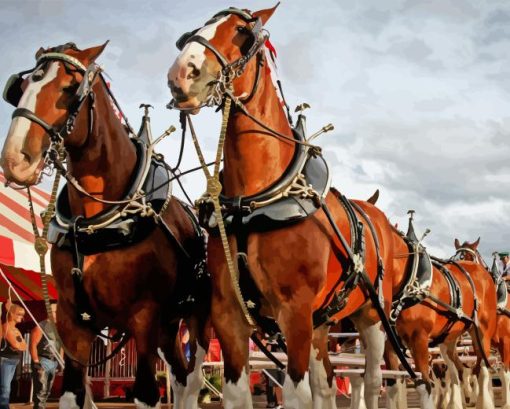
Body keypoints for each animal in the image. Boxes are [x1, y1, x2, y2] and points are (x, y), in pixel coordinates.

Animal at [0, 42, 211, 408]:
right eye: (20, 88)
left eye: (70, 90)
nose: (15, 159)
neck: (97, 224)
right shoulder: (72, 320)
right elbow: (72, 392)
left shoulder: (144, 317)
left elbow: (146, 393)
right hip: (169, 326)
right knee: (180, 376)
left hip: (192, 319)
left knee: (193, 379)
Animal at [165, 4, 468, 406]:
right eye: (193, 31)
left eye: (243, 32)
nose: (182, 74)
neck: (255, 202)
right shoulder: (229, 312)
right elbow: (237, 394)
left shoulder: (294, 312)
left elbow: (298, 393)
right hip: (321, 320)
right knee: (326, 381)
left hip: (371, 318)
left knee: (374, 380)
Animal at [454, 236, 510, 408]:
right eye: (455, 256)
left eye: (470, 258)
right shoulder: (479, 341)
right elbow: (478, 369)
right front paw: (475, 398)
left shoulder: (506, 342)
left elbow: (505, 373)